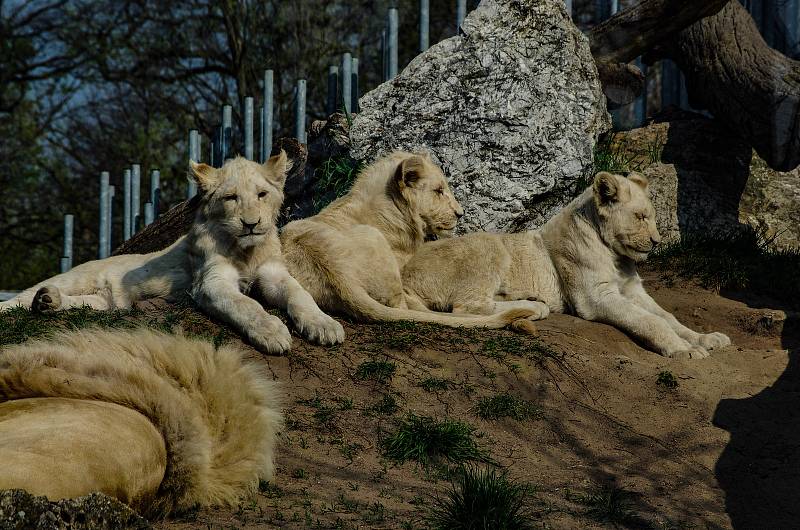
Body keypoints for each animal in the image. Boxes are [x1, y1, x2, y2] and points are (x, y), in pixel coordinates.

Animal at [0, 151, 340, 352]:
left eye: (262, 194)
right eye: (231, 198)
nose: (251, 223)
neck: (246, 251)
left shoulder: (275, 275)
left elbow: (300, 295)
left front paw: (324, 326)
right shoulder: (209, 283)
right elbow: (246, 305)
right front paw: (272, 332)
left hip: (105, 304)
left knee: (84, 303)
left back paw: (49, 302)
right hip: (74, 277)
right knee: (19, 299)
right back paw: (36, 300)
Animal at [404, 172, 736, 358]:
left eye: (652, 217)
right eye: (641, 217)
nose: (656, 242)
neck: (616, 256)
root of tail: (405, 272)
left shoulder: (633, 290)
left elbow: (668, 316)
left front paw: (706, 339)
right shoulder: (595, 297)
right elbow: (649, 321)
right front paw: (683, 350)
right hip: (489, 245)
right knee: (466, 307)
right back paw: (533, 306)